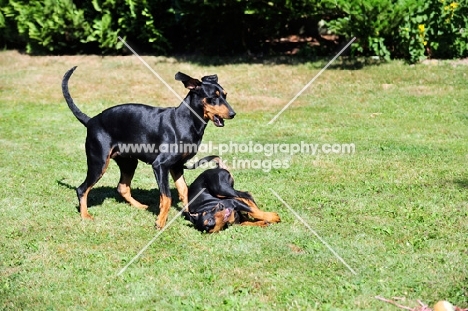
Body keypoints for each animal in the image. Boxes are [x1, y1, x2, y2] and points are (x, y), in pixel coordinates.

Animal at [61, 67, 236, 229]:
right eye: (213, 97)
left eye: (225, 95)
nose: (233, 114)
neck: (185, 121)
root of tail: (91, 121)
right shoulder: (160, 165)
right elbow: (167, 196)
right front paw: (160, 222)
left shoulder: (177, 166)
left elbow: (184, 191)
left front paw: (189, 214)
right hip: (99, 163)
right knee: (82, 189)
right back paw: (85, 215)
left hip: (129, 162)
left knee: (122, 188)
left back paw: (140, 206)